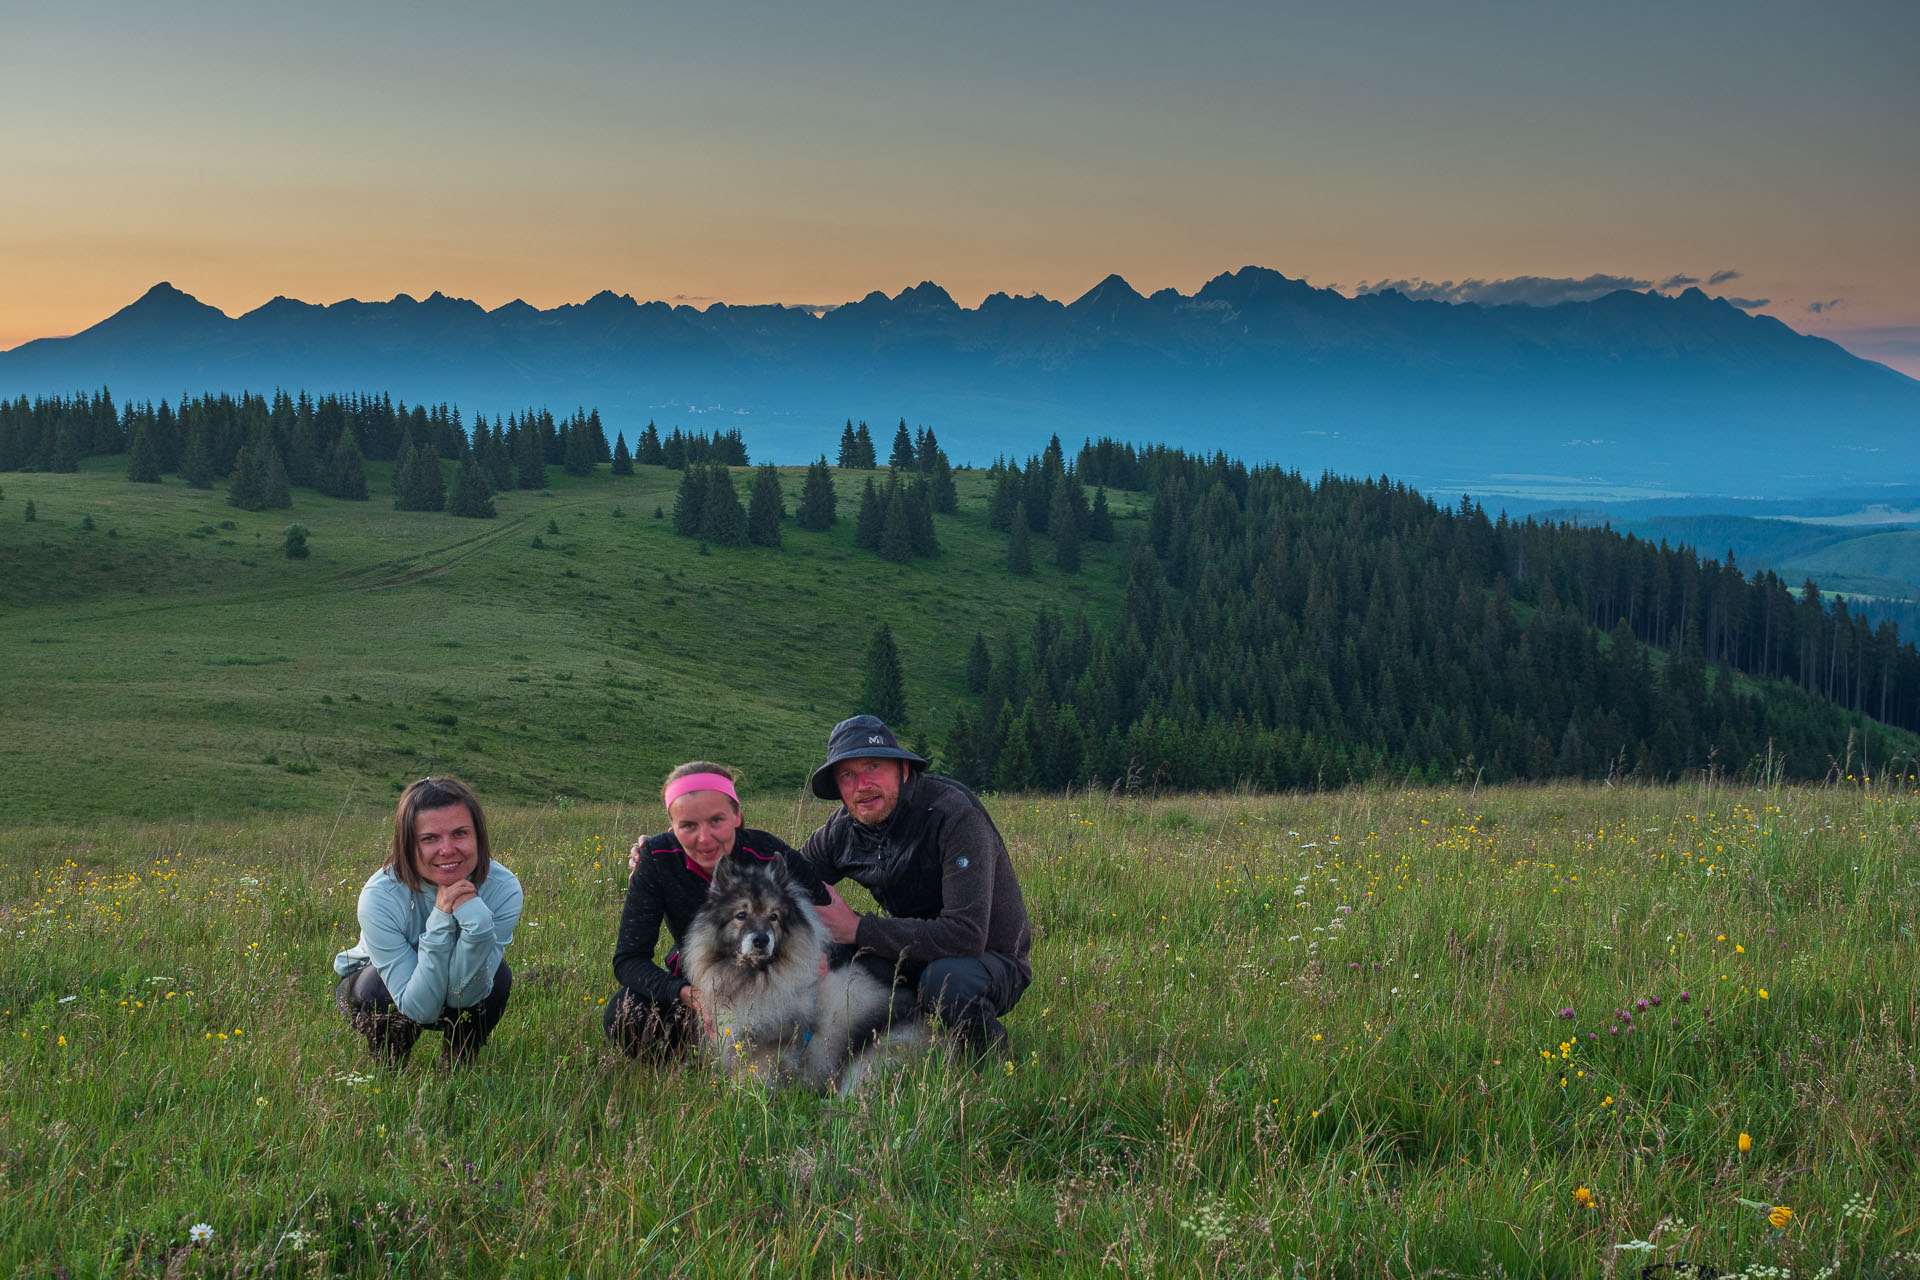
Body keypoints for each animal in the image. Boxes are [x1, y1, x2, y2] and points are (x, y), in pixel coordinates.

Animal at [679, 852, 925, 1090]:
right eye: (741, 915)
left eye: (774, 917)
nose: (761, 940)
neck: (754, 979)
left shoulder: (769, 1056)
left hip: (869, 1061)